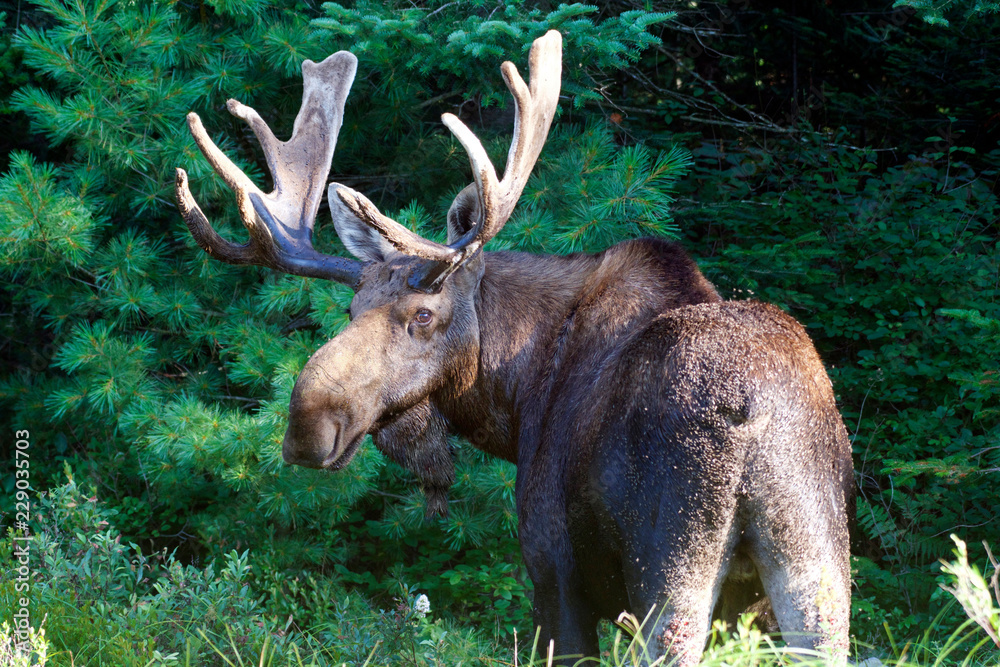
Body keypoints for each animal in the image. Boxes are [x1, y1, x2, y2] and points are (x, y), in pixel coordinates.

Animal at [174, 30, 852, 664]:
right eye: (350, 310)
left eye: (424, 314)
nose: (307, 426)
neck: (516, 403)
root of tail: (750, 414)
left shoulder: (553, 567)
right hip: (815, 565)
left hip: (671, 567)